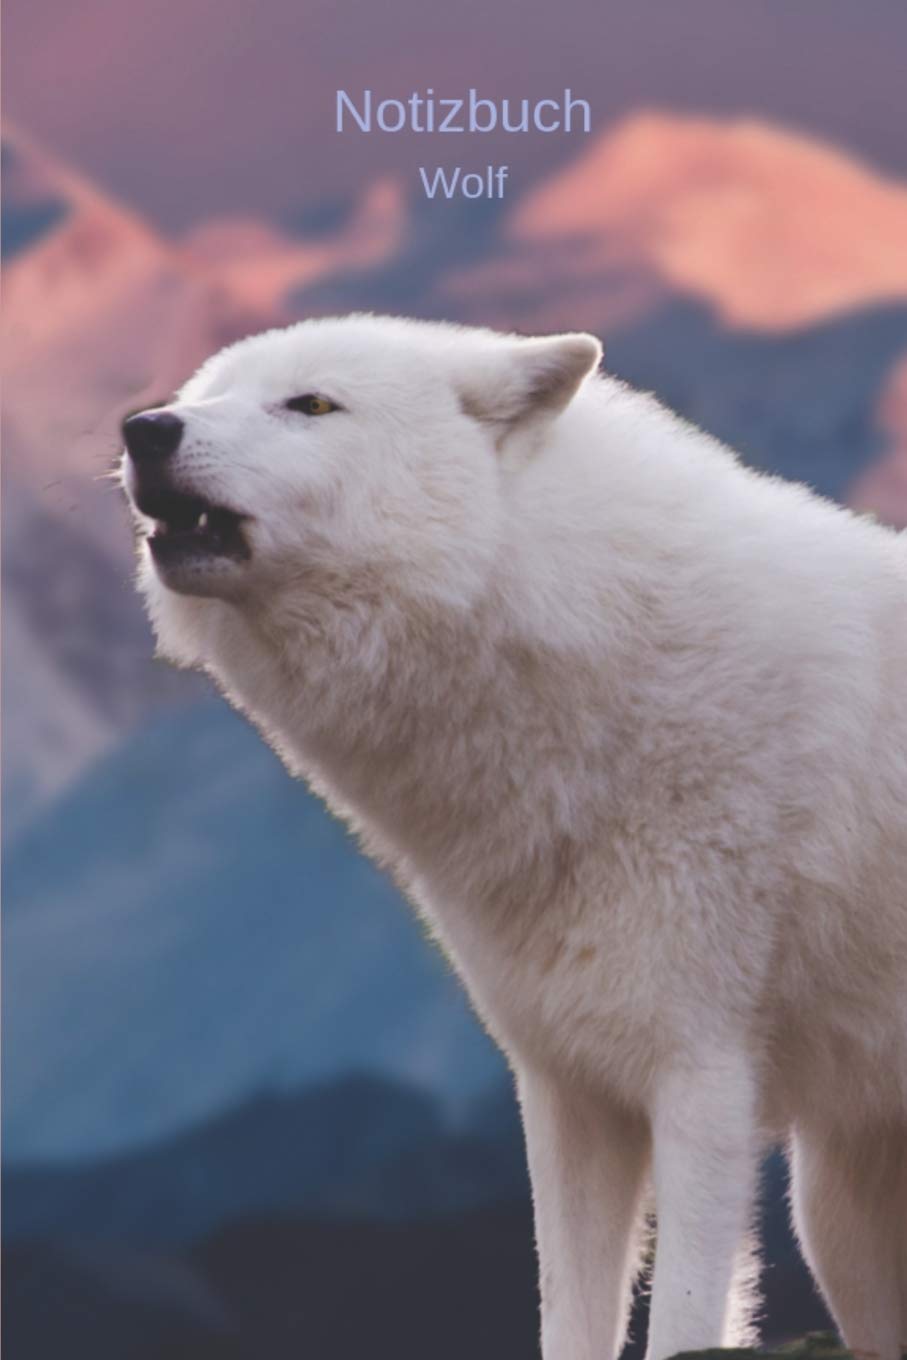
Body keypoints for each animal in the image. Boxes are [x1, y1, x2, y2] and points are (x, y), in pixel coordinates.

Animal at [122, 314, 907, 1359]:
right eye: (203, 396)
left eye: (311, 404)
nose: (143, 428)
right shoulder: (568, 1089)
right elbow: (566, 1314)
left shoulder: (700, 1075)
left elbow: (682, 1312)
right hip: (839, 1219)